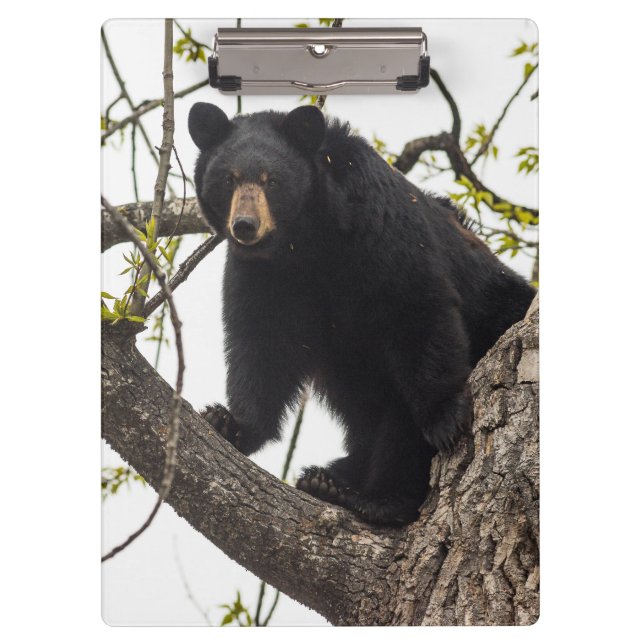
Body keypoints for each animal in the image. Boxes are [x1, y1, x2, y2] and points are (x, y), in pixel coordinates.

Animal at [188, 102, 536, 525]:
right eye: (229, 179)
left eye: (272, 181)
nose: (245, 226)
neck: (306, 241)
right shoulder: (264, 275)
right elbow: (262, 342)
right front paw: (231, 423)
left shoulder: (381, 228)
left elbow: (416, 309)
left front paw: (444, 418)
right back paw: (329, 478)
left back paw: (372, 497)